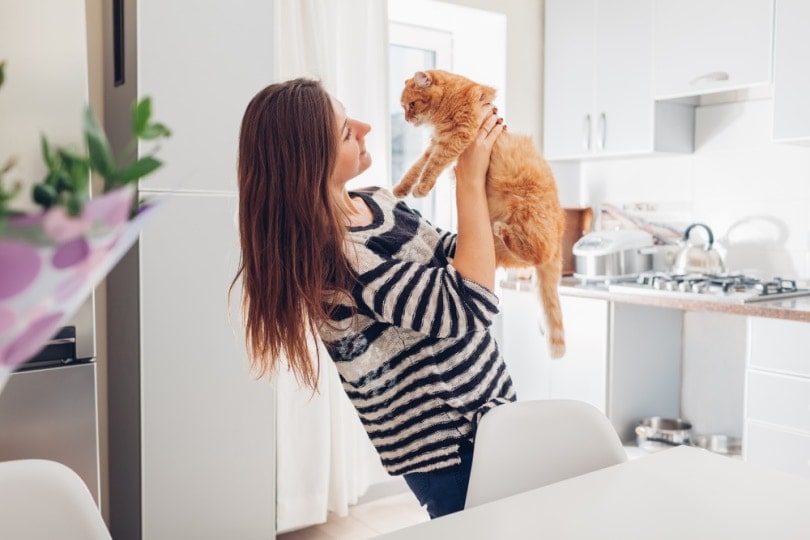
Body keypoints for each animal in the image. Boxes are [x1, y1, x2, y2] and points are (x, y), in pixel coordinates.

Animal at [392, 70, 560, 358]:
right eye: (404, 108)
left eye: (411, 105)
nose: (406, 119)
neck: (450, 99)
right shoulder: (437, 143)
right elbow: (416, 167)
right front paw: (402, 188)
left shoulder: (456, 136)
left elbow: (432, 166)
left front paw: (421, 188)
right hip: (498, 247)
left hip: (529, 215)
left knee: (539, 253)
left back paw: (504, 230)